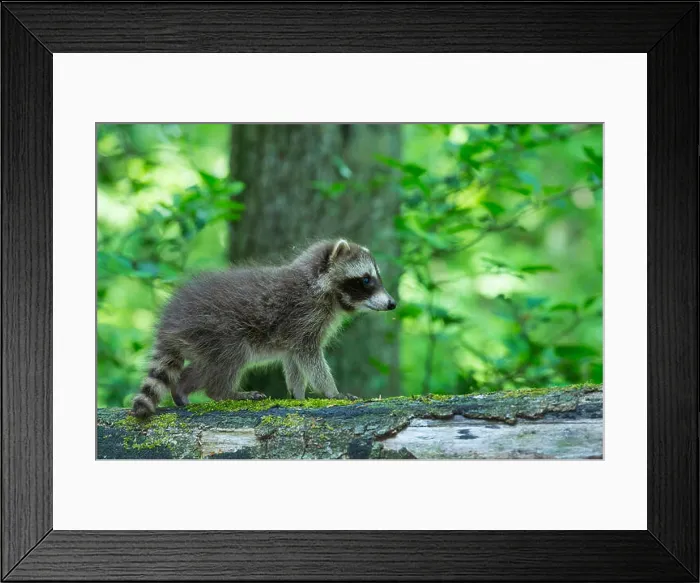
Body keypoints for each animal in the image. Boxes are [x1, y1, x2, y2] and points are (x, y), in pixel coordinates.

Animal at [132, 239, 397, 418]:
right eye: (366, 279)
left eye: (376, 278)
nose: (392, 303)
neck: (320, 286)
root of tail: (169, 321)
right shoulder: (303, 317)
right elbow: (310, 359)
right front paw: (331, 391)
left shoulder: (294, 333)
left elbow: (293, 363)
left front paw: (297, 395)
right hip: (218, 330)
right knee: (228, 361)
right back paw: (225, 392)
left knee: (202, 368)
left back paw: (181, 387)